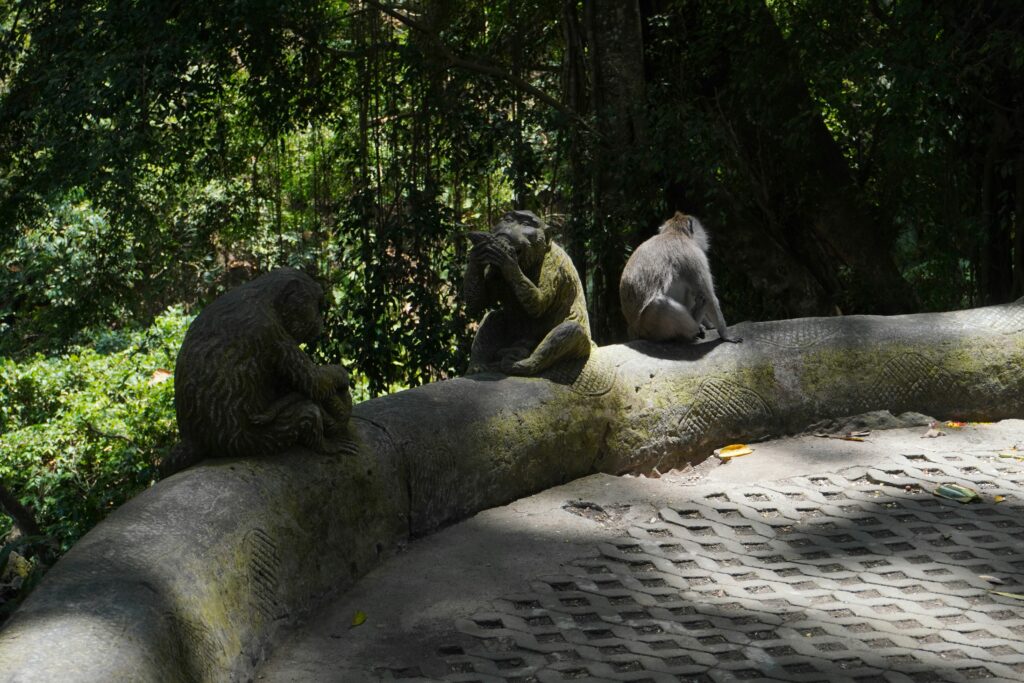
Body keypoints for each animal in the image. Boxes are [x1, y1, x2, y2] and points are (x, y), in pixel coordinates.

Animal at [614, 210, 745, 344]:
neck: (674, 233)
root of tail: (633, 329)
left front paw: (709, 325)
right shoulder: (694, 256)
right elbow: (709, 297)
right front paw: (726, 335)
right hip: (648, 326)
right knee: (660, 305)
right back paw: (695, 323)